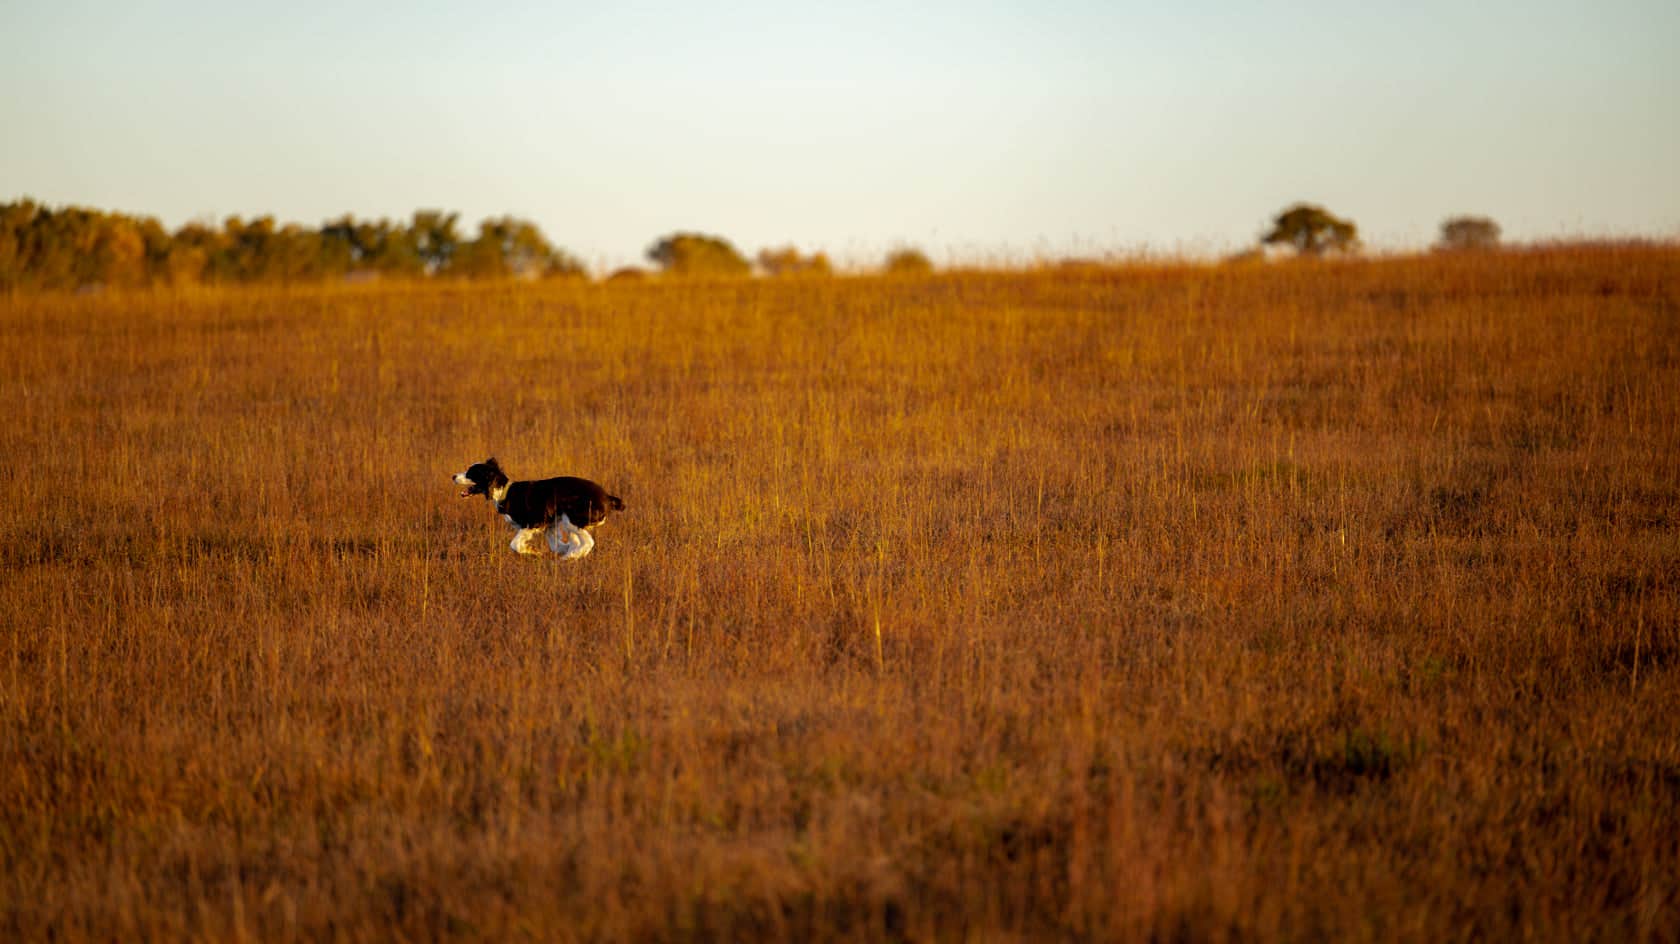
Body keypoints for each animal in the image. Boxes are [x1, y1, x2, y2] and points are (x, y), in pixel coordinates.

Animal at [453, 456, 624, 554]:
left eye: (470, 473)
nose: (453, 476)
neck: (504, 491)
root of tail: (607, 497)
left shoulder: (533, 522)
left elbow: (514, 544)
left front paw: (532, 551)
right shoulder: (550, 525)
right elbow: (555, 545)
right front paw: (562, 548)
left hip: (572, 518)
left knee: (588, 542)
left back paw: (571, 557)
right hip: (568, 520)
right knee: (579, 541)